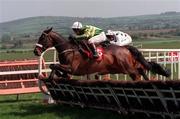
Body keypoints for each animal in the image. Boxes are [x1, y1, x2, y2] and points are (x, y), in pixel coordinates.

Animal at [33, 27, 170, 80]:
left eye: (42, 37)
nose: (35, 51)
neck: (68, 49)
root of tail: (125, 48)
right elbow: (54, 66)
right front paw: (57, 75)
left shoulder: (73, 68)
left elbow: (55, 66)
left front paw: (53, 77)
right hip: (121, 67)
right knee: (141, 70)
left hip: (127, 67)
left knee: (138, 73)